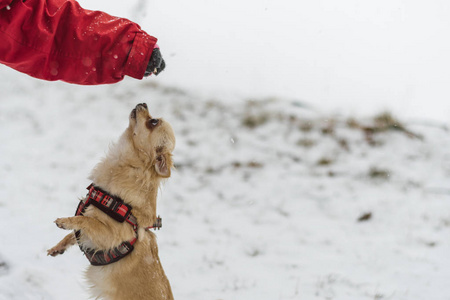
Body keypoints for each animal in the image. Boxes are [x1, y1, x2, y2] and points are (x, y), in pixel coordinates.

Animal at [48, 103, 176, 300]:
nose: (143, 103)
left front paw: (65, 222)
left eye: (153, 122)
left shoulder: (109, 235)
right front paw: (58, 247)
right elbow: (75, 233)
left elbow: (86, 220)